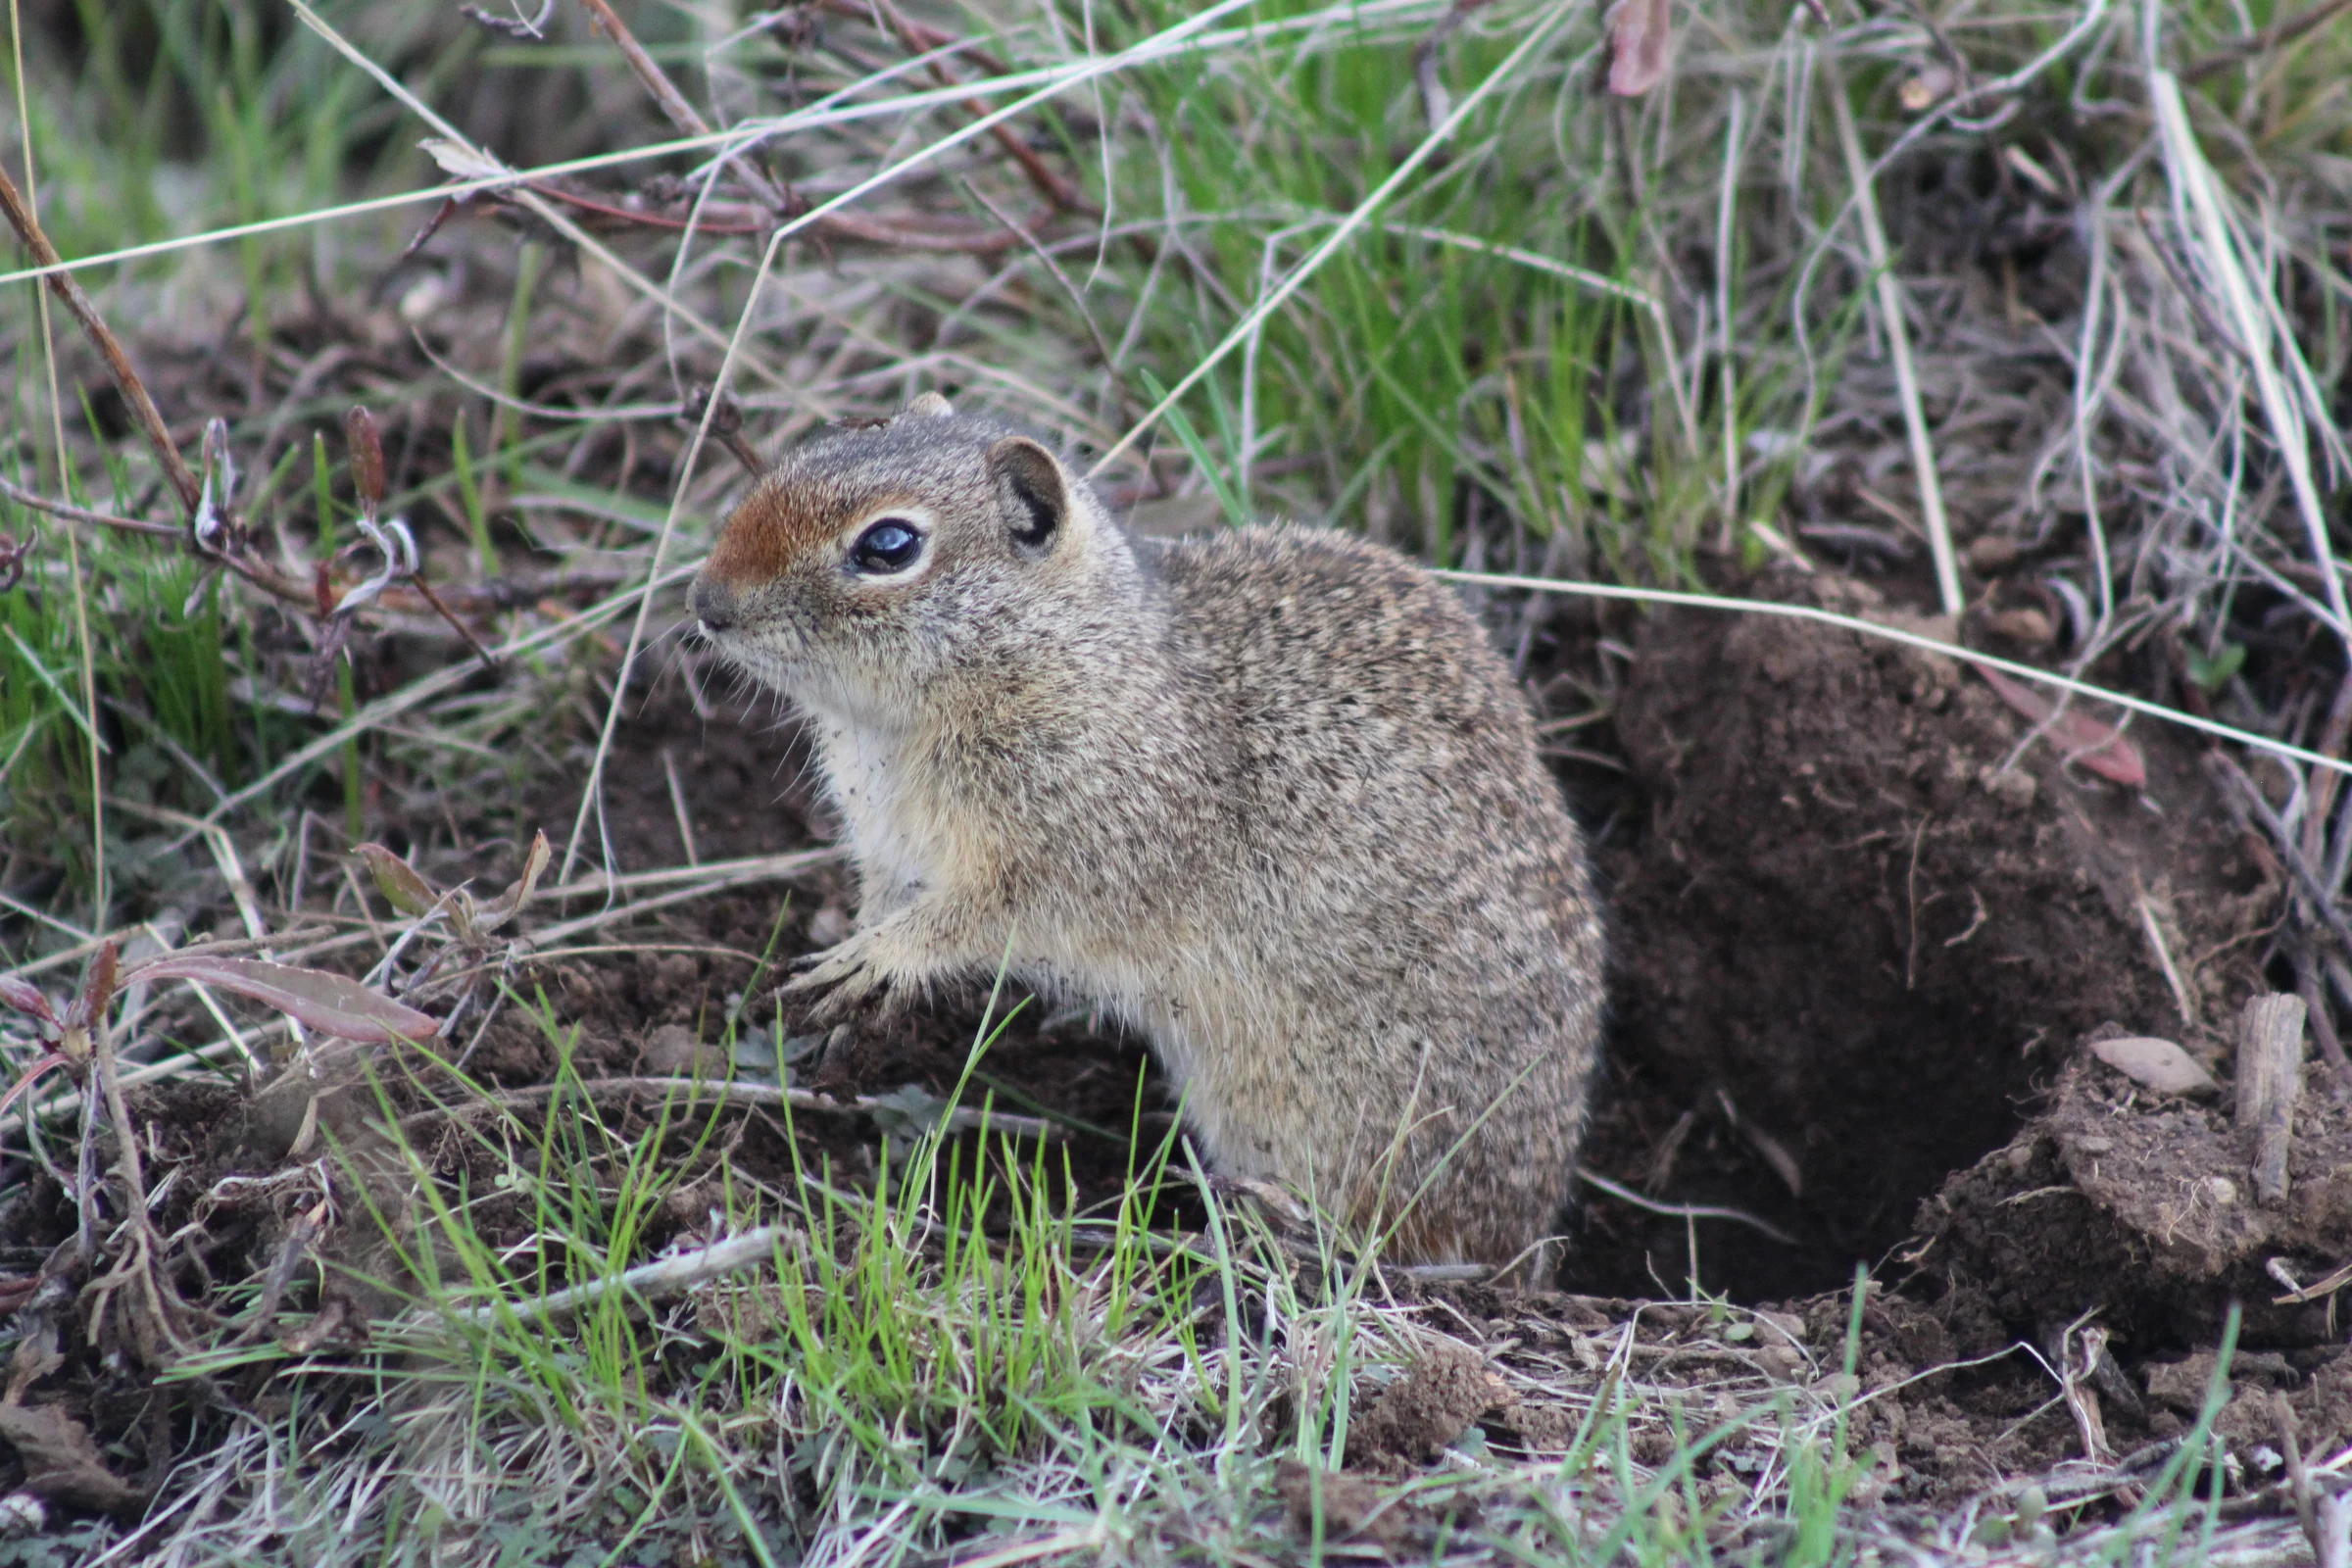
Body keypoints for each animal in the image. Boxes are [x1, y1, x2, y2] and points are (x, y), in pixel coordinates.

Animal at [689, 393, 1604, 1272]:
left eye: (888, 545)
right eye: (812, 450)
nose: (707, 603)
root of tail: (1526, 1241)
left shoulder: (1074, 853)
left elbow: (974, 918)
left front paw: (878, 958)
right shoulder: (887, 847)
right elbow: (886, 900)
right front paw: (846, 977)